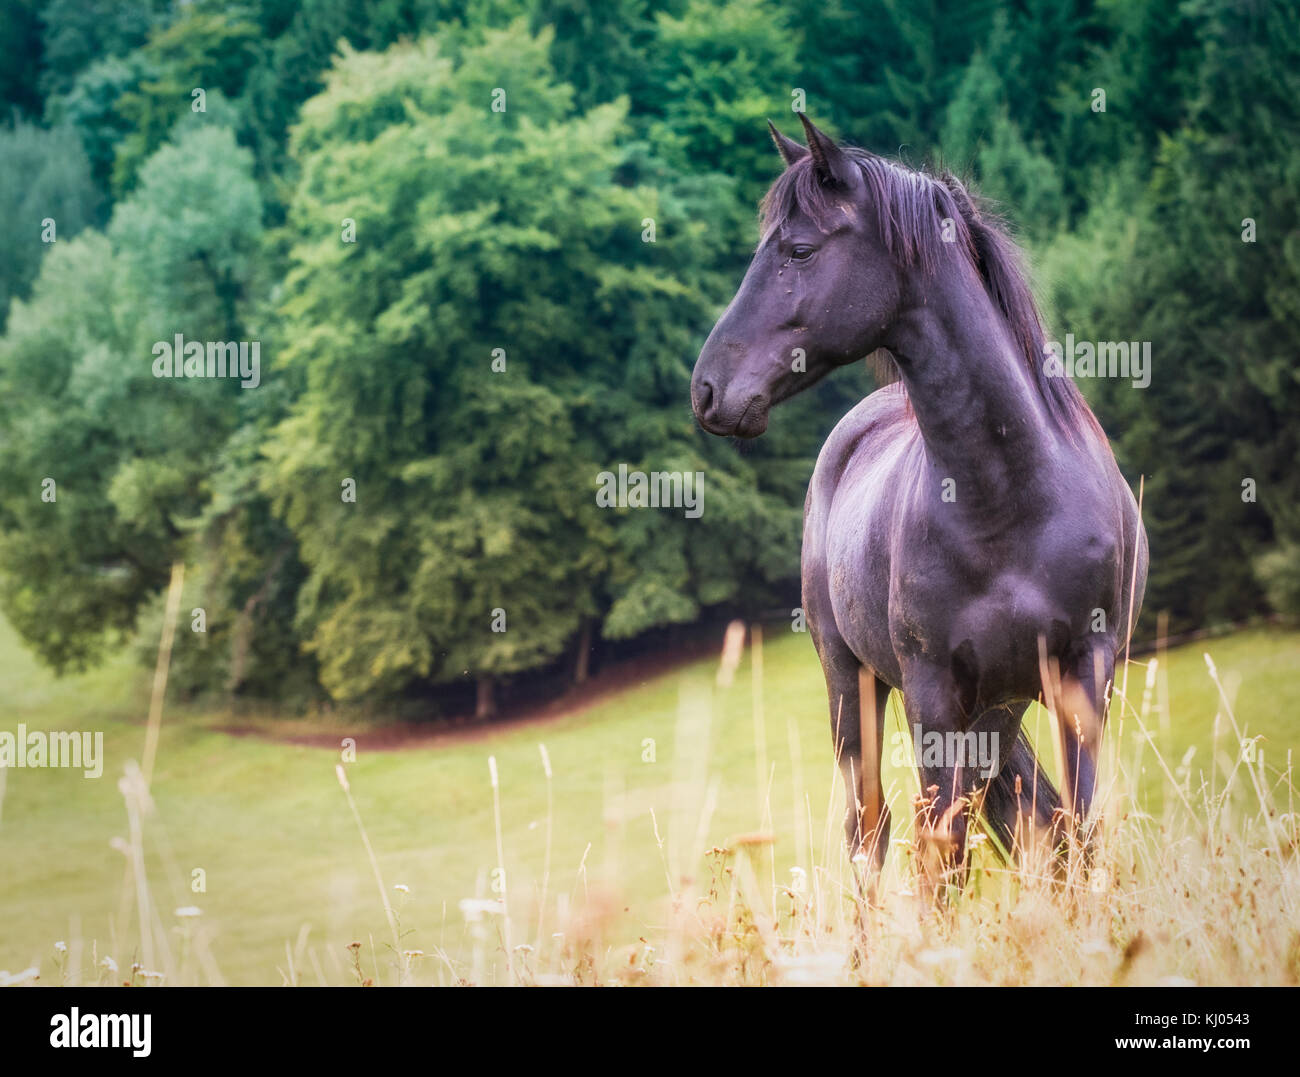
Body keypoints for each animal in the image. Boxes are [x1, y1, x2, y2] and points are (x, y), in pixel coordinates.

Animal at [691, 117, 1149, 889]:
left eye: (799, 250)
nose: (707, 389)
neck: (1009, 499)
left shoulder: (1084, 673)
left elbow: (1080, 831)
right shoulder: (932, 694)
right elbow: (942, 856)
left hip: (997, 707)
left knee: (1033, 817)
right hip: (855, 691)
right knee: (870, 834)